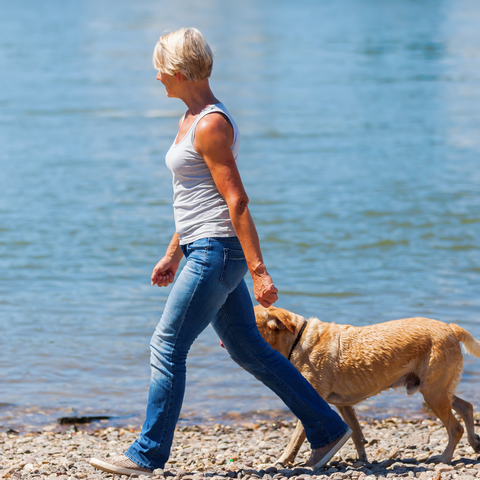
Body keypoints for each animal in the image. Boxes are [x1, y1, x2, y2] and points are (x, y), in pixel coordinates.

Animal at [253, 304, 480, 464]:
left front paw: (283, 461)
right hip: (436, 390)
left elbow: (295, 439)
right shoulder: (344, 404)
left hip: (433, 392)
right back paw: (475, 442)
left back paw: (444, 458)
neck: (297, 340)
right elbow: (356, 434)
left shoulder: (311, 398)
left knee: (455, 428)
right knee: (466, 406)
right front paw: (362, 460)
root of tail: (451, 328)